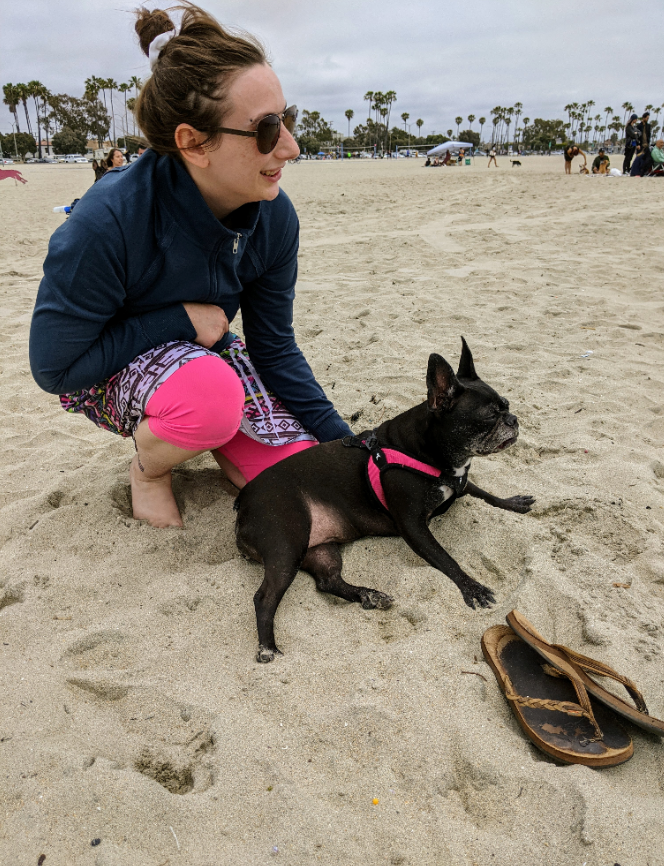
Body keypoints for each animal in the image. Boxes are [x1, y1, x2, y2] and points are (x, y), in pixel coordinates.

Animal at [235, 339, 534, 662]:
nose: (514, 419)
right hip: (286, 544)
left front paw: (514, 502)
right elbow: (445, 557)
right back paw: (268, 646)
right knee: (264, 597)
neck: (428, 449)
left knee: (328, 581)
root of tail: (243, 501)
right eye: (489, 415)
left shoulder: (460, 483)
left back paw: (370, 595)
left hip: (321, 549)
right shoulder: (413, 526)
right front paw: (472, 587)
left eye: (507, 405)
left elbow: (486, 494)